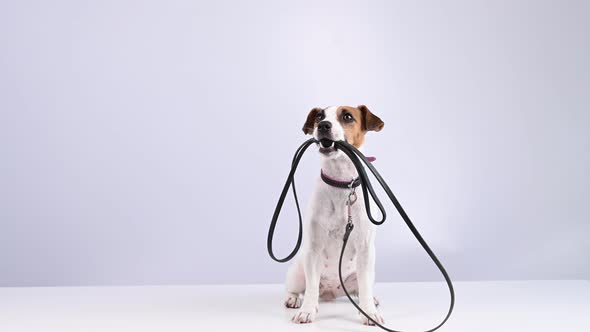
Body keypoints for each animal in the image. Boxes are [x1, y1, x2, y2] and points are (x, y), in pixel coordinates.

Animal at [284, 105, 386, 324]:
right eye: (319, 116)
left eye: (347, 116)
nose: (323, 125)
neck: (342, 183)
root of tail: (330, 292)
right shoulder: (313, 249)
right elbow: (311, 289)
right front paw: (306, 310)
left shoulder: (365, 249)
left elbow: (365, 288)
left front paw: (369, 312)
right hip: (298, 272)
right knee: (300, 288)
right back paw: (294, 299)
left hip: (361, 273)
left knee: (361, 288)